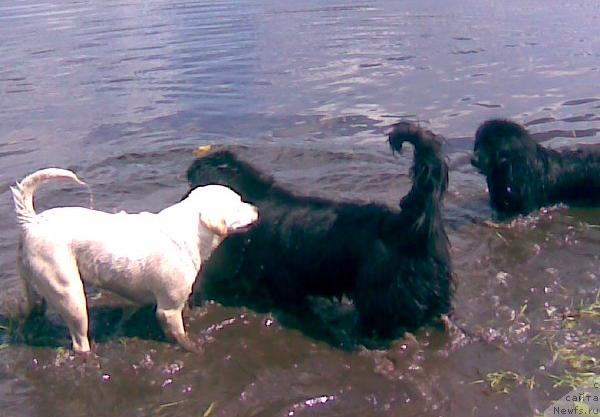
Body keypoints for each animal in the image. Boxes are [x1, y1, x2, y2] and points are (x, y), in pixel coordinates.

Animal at [10, 167, 256, 352]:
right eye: (239, 203)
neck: (190, 230)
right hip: (71, 296)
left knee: (32, 313)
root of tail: (32, 222)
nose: (256, 208)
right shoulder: (168, 309)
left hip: (37, 290)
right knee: (80, 342)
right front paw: (194, 349)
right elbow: (182, 336)